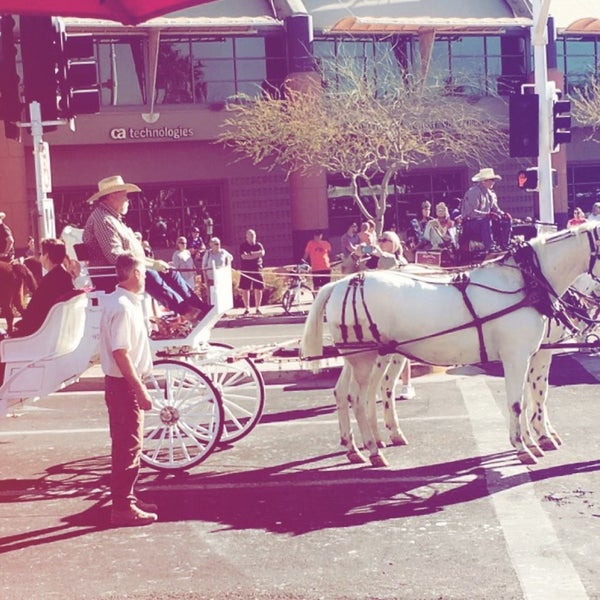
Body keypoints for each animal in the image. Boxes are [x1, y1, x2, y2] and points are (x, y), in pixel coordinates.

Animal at [302, 223, 600, 466]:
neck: (527, 282)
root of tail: (341, 283)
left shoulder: (531, 354)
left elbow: (530, 398)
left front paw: (535, 439)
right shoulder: (519, 356)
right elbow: (521, 401)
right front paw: (525, 446)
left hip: (365, 357)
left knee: (349, 392)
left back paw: (357, 447)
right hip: (365, 359)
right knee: (359, 398)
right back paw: (374, 451)